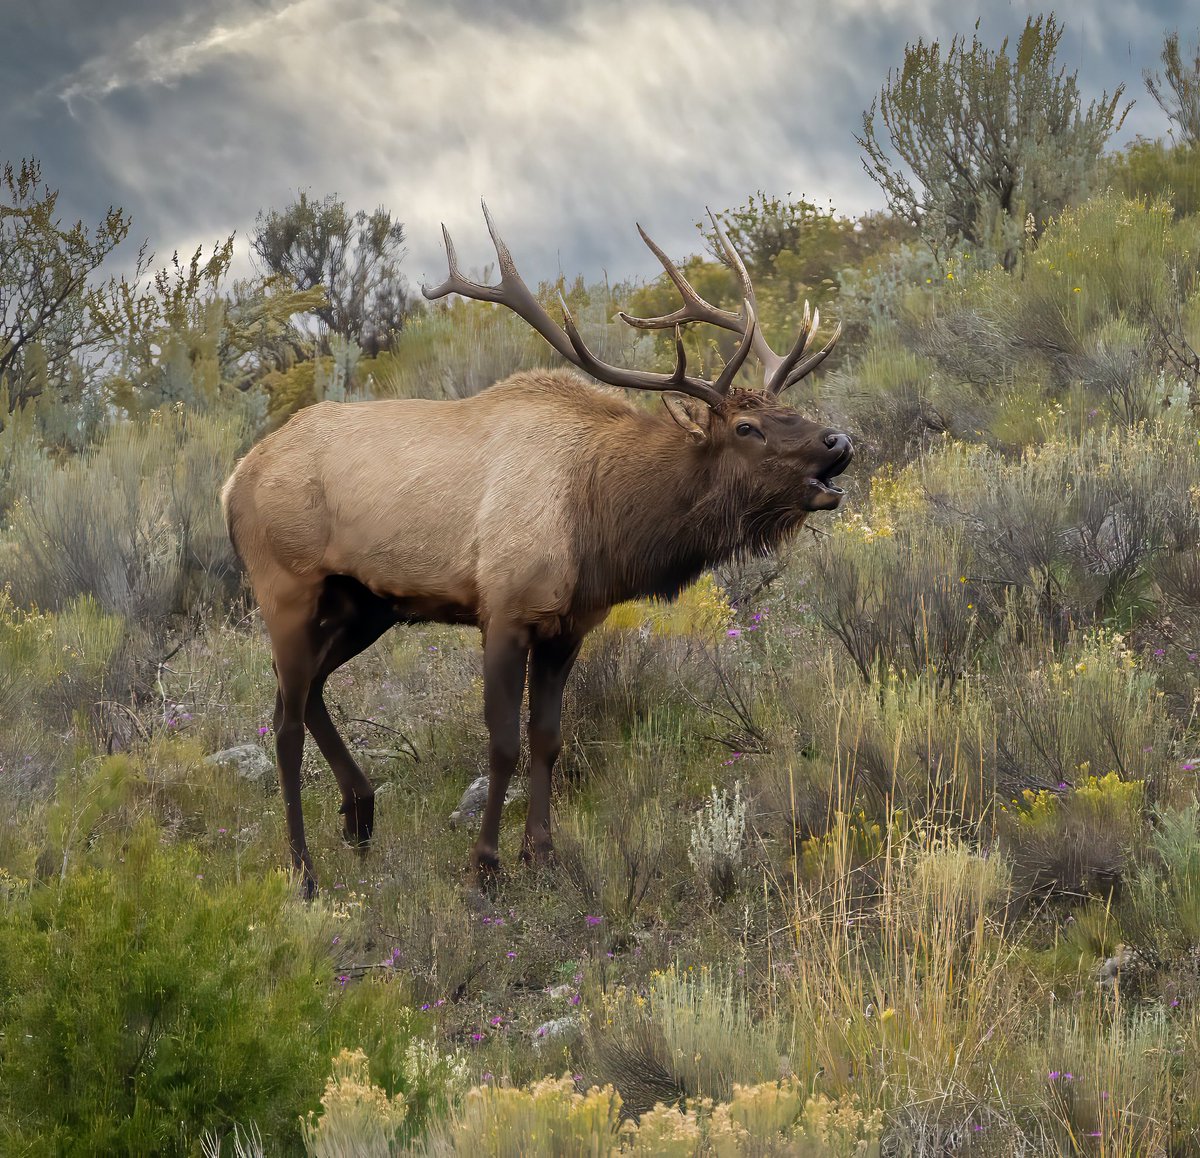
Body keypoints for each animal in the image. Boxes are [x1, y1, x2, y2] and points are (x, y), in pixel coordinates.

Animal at [220, 205, 849, 892]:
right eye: (745, 427)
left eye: (788, 408)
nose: (839, 441)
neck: (601, 522)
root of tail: (233, 482)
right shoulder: (504, 609)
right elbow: (502, 744)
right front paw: (485, 864)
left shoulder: (568, 624)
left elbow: (546, 737)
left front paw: (542, 853)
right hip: (286, 587)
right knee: (284, 722)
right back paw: (304, 869)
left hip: (364, 605)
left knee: (303, 691)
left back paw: (360, 813)